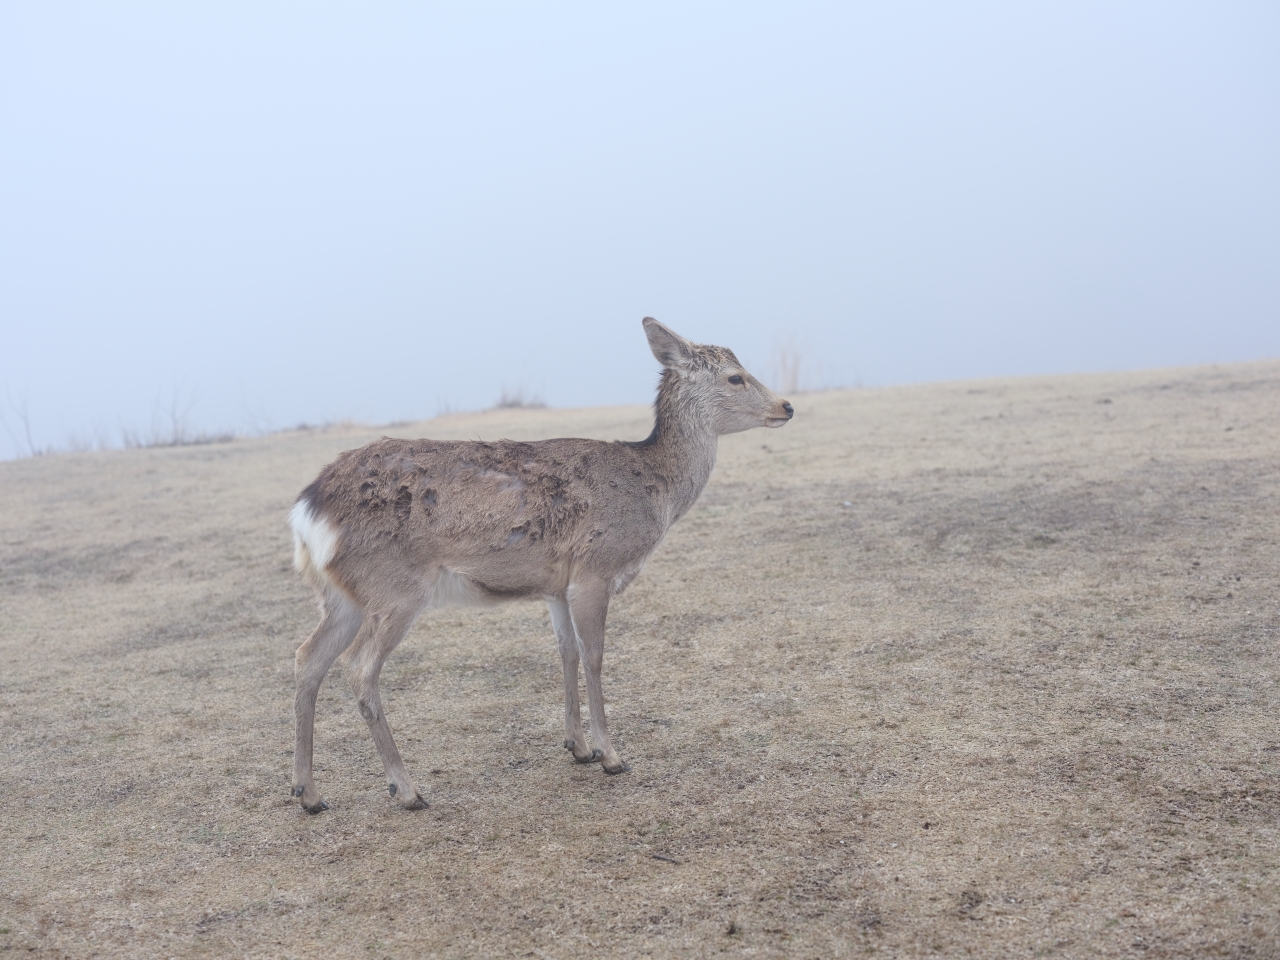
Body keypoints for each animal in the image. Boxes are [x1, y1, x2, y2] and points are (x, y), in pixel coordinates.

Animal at [285, 320, 793, 814]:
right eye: (735, 377)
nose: (787, 406)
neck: (654, 492)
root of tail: (307, 509)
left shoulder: (556, 586)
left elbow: (565, 651)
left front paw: (578, 747)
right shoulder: (595, 569)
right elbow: (594, 655)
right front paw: (611, 756)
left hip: (342, 595)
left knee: (307, 657)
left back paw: (308, 793)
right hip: (396, 587)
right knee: (358, 666)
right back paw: (406, 789)